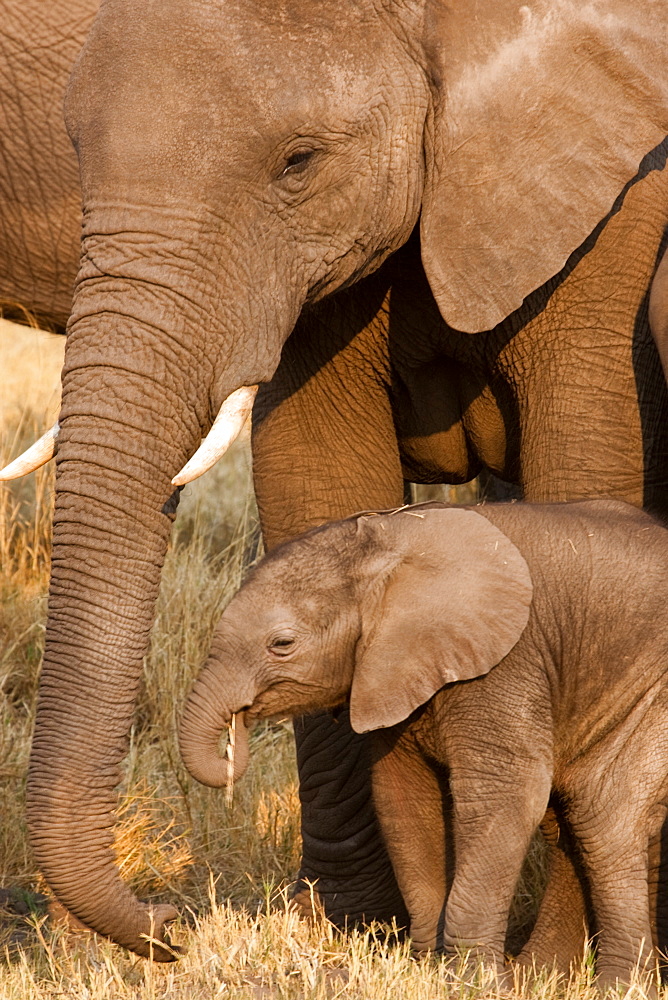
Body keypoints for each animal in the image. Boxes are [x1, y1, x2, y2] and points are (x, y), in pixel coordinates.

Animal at [179, 500, 668, 984]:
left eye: (282, 644)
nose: (236, 733)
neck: (391, 538)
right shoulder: (392, 673)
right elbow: (403, 799)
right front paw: (429, 966)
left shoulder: (507, 662)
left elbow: (506, 796)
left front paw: (472, 981)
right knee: (578, 815)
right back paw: (545, 976)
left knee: (604, 814)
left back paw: (618, 986)